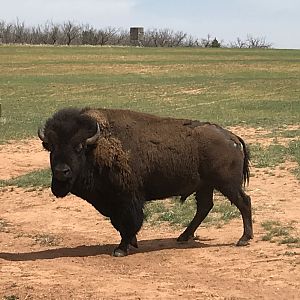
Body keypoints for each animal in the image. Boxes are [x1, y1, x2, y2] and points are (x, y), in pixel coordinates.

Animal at [38, 106, 253, 256]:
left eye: (78, 147)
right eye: (51, 147)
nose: (61, 172)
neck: (96, 147)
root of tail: (232, 137)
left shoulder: (127, 199)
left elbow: (128, 222)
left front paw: (121, 249)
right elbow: (119, 224)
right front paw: (131, 243)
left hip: (227, 184)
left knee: (244, 202)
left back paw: (243, 239)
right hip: (205, 186)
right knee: (205, 207)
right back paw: (183, 237)